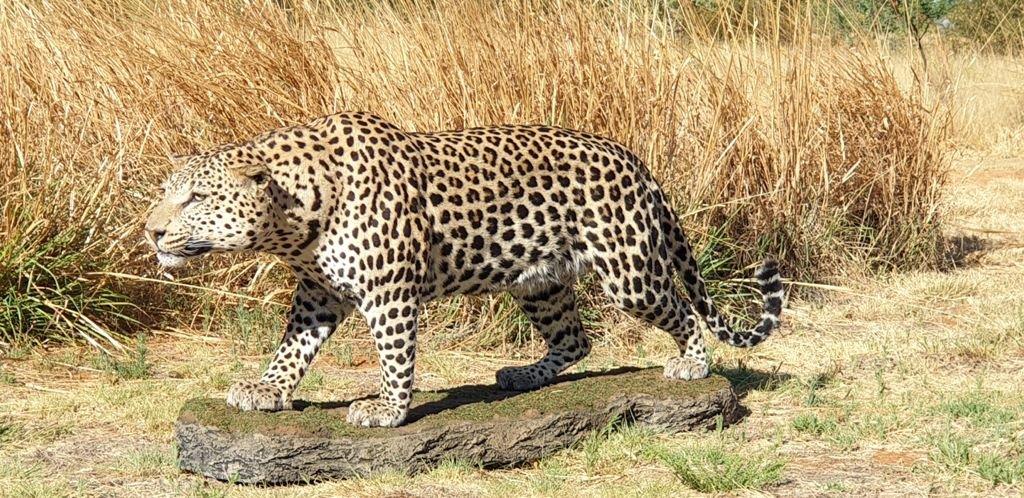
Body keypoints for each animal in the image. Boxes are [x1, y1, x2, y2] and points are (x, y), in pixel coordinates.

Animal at [144, 111, 784, 428]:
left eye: (195, 198)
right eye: (169, 194)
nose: (150, 231)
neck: (296, 218)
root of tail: (634, 158)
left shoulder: (390, 292)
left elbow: (396, 355)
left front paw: (387, 409)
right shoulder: (318, 293)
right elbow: (292, 347)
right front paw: (267, 390)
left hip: (628, 272)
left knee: (681, 311)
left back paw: (692, 365)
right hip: (540, 280)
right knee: (575, 340)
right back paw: (525, 375)